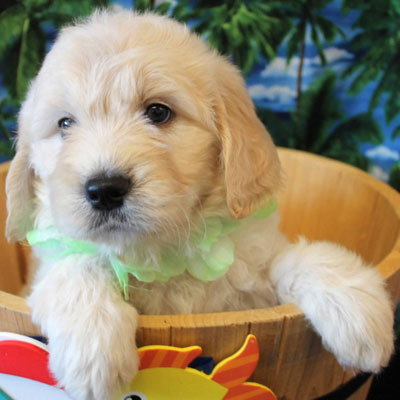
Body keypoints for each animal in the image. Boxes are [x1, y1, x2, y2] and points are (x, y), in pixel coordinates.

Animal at [5, 9, 394, 400]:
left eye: (158, 112)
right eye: (64, 123)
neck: (160, 252)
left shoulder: (253, 267)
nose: (104, 190)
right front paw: (94, 351)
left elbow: (300, 258)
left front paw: (357, 312)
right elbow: (76, 264)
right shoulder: (50, 267)